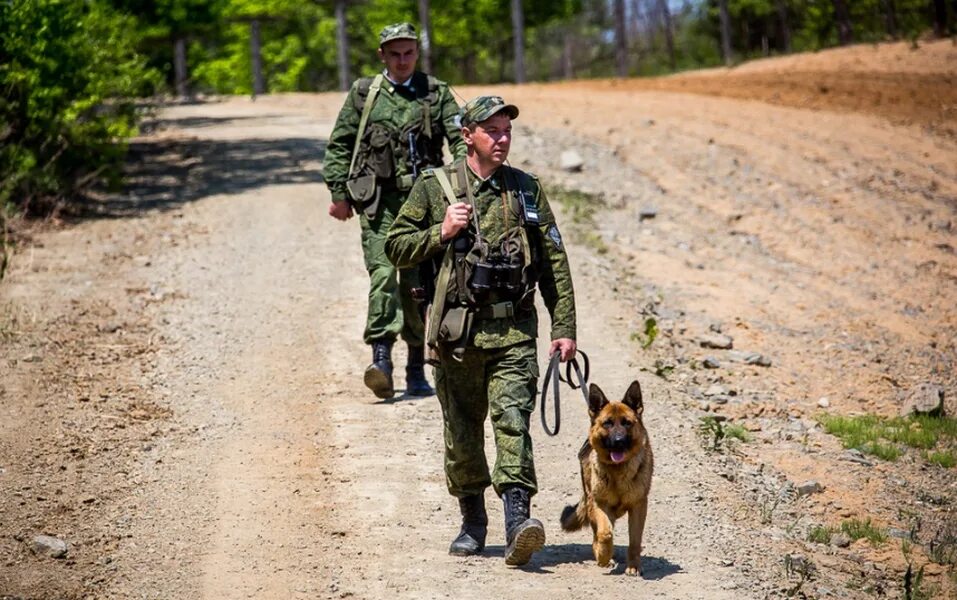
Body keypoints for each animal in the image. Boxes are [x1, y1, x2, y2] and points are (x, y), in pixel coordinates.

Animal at [556, 382, 652, 576]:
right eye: (607, 423)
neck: (617, 471)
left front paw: (633, 566)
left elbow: (635, 541)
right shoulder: (599, 504)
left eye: (627, 423)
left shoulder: (639, 506)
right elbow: (605, 533)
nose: (618, 441)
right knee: (598, 532)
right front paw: (603, 556)